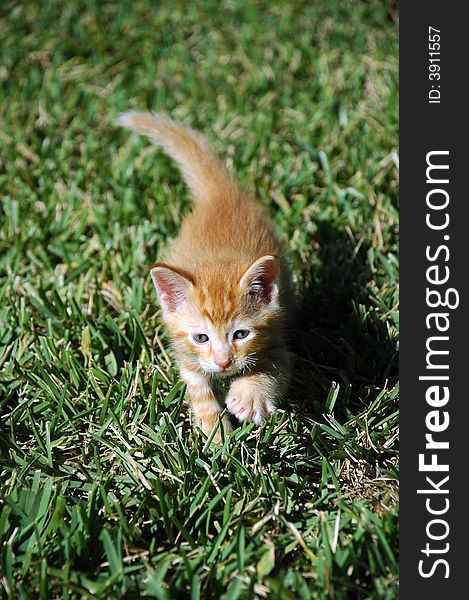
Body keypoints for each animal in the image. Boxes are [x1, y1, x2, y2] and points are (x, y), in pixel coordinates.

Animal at [117, 111, 290, 440]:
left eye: (241, 334)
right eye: (201, 337)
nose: (224, 362)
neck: (216, 259)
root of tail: (221, 194)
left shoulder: (279, 336)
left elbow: (271, 369)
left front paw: (249, 397)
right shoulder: (186, 356)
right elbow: (199, 391)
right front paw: (217, 435)